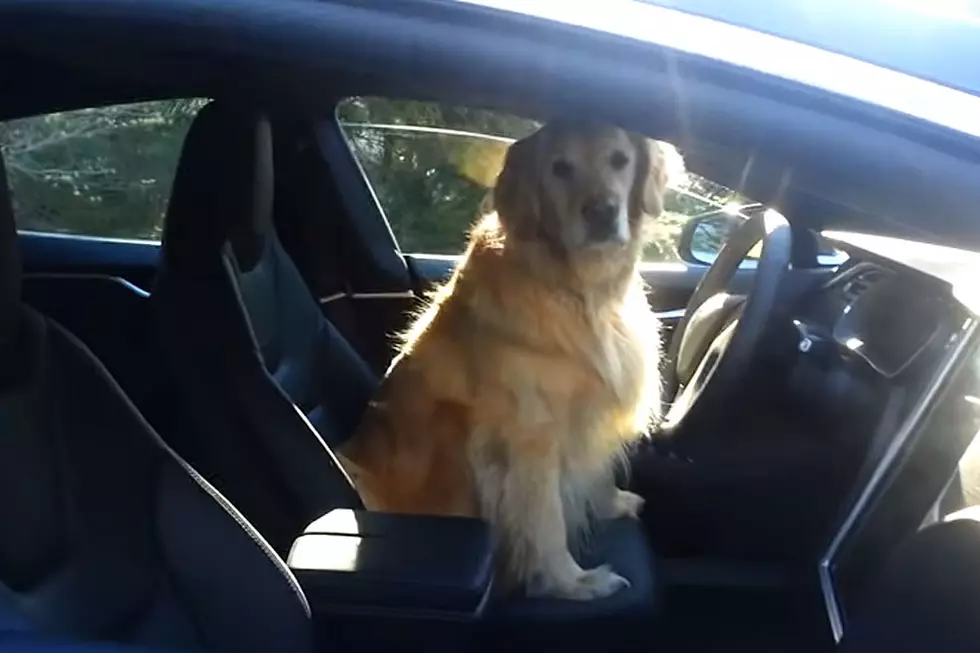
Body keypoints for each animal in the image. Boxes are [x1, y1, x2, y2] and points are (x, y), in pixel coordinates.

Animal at [338, 119, 672, 600]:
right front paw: (572, 581)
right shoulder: (529, 434)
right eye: (560, 168)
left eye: (620, 160)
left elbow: (597, 468)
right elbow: (545, 520)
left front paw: (611, 502)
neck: (579, 291)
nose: (602, 212)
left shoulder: (591, 411)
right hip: (451, 429)